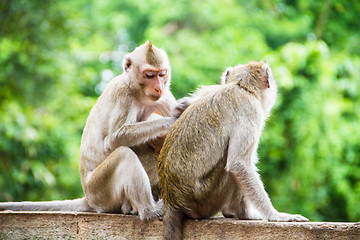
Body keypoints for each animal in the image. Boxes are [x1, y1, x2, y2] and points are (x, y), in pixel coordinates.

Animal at [0, 40, 184, 220]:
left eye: (161, 74)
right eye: (149, 75)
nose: (158, 87)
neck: (139, 93)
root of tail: (88, 197)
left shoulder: (163, 96)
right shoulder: (123, 94)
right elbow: (115, 138)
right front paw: (172, 120)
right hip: (99, 190)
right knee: (124, 154)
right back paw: (149, 210)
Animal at [158, 61, 310, 239]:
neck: (241, 87)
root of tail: (171, 201)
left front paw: (182, 106)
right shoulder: (251, 110)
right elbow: (239, 164)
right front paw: (275, 215)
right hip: (205, 199)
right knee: (230, 166)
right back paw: (240, 213)